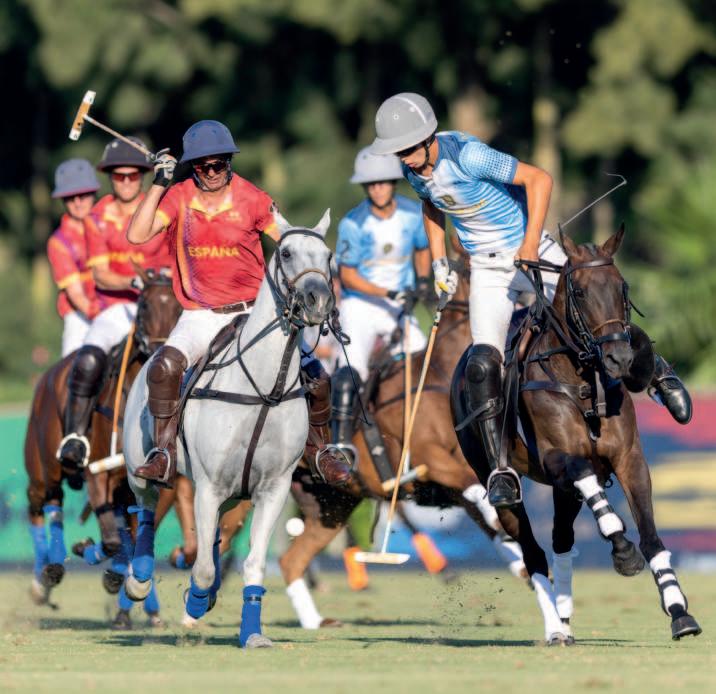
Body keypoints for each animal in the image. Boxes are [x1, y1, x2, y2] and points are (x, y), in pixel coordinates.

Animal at [24, 268, 182, 608]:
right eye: (144, 306)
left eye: (178, 307)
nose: (159, 353)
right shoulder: (97, 473)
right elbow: (110, 541)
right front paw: (92, 554)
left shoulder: (147, 483)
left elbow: (132, 534)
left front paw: (119, 575)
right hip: (43, 467)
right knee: (38, 505)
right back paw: (43, 576)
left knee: (57, 504)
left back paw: (56, 567)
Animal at [122, 210, 336, 648]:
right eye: (286, 252)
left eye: (328, 255)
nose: (318, 300)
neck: (266, 389)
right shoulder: (207, 485)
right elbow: (201, 568)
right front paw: (196, 601)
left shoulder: (273, 488)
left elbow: (252, 564)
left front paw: (252, 634)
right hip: (140, 466)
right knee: (146, 509)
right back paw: (139, 579)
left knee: (215, 535)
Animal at [275, 253, 527, 629]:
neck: (440, 378)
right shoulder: (431, 459)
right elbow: (474, 491)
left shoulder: (459, 478)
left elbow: (486, 506)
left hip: (332, 504)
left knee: (291, 558)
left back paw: (315, 621)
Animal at [451, 225, 702, 644]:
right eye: (580, 292)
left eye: (622, 287)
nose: (620, 358)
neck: (582, 381)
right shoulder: (560, 459)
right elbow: (599, 500)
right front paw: (623, 552)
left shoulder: (630, 459)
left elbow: (651, 536)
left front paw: (679, 611)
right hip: (500, 482)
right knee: (532, 549)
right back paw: (554, 627)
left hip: (562, 490)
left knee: (560, 541)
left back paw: (565, 617)